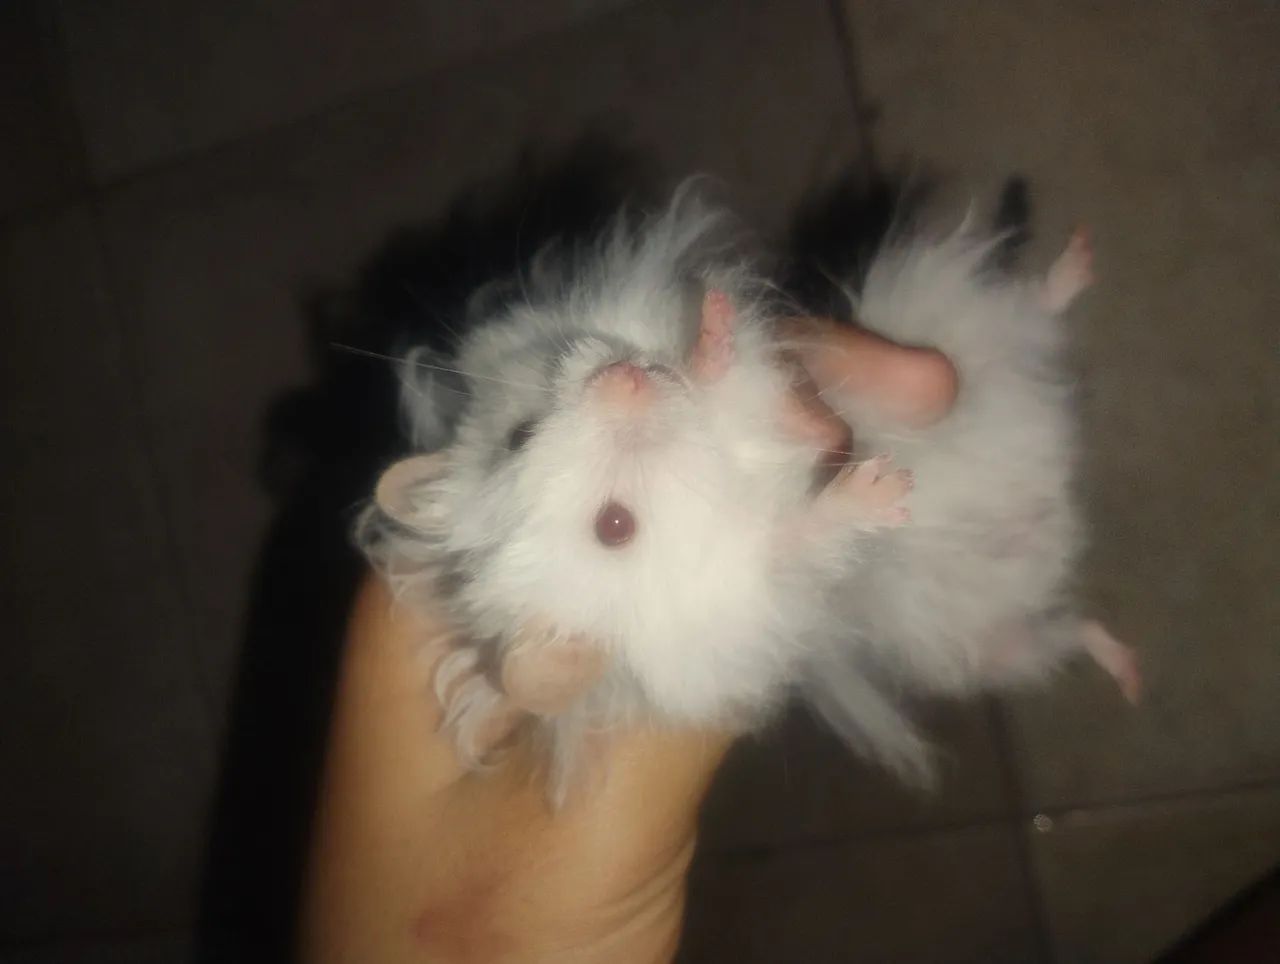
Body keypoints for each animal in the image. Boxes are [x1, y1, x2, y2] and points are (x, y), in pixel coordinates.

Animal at [358, 186, 1136, 796]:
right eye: (615, 526)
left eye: (519, 434)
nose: (623, 379)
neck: (722, 461)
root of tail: (1059, 515)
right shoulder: (766, 583)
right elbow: (801, 535)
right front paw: (882, 488)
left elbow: (742, 371)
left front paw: (712, 323)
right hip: (988, 651)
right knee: (1065, 632)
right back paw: (1128, 672)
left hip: (960, 328)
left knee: (1016, 316)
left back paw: (1081, 256)